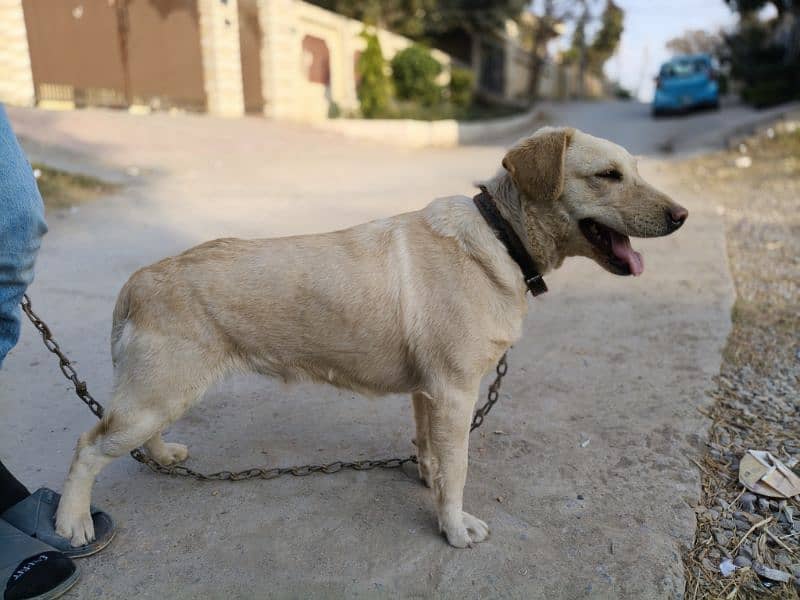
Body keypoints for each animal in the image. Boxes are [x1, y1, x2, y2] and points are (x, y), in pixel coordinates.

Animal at [54, 126, 688, 548]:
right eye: (607, 176)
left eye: (635, 170)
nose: (682, 216)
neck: (500, 237)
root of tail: (138, 280)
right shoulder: (455, 394)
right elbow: (459, 468)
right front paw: (454, 526)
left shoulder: (429, 394)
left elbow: (431, 451)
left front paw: (429, 483)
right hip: (155, 396)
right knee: (88, 446)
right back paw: (71, 521)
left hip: (164, 395)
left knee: (135, 434)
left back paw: (162, 456)